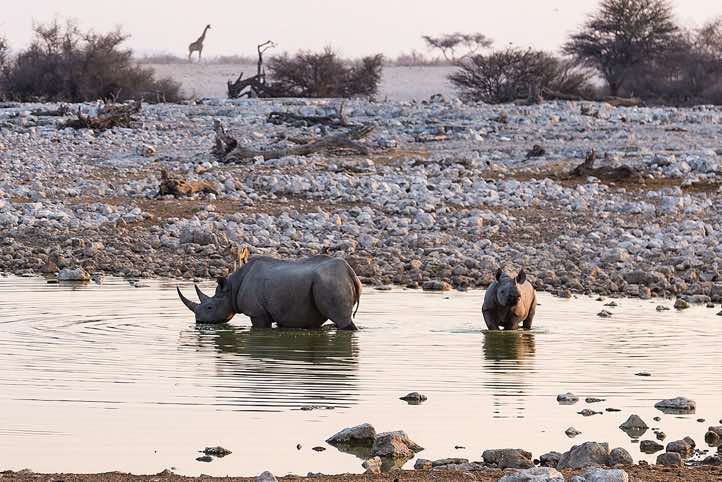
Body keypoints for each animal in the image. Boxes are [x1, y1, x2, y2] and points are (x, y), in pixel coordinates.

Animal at [177, 251, 362, 330]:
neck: (231, 288)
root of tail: (350, 272)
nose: (199, 321)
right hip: (330, 281)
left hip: (331, 282)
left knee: (342, 320)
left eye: (209, 307)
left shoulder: (257, 313)